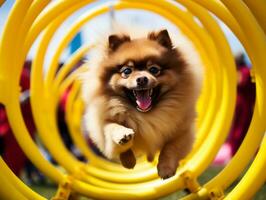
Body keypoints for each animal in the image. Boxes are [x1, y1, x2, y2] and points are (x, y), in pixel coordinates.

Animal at [81, 27, 202, 178]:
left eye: (154, 69)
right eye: (127, 71)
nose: (142, 79)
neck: (145, 116)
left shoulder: (182, 131)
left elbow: (170, 148)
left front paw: (165, 169)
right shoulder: (103, 125)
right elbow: (113, 127)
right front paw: (125, 147)